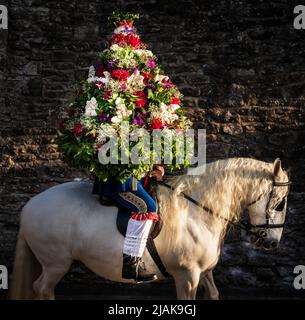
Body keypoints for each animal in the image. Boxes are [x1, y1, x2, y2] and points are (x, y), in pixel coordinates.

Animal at [10, 158, 288, 300]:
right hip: (55, 262)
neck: (197, 211)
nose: (271, 243)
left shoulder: (205, 272)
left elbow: (215, 293)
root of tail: (31, 204)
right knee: (42, 288)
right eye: (281, 202)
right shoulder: (187, 276)